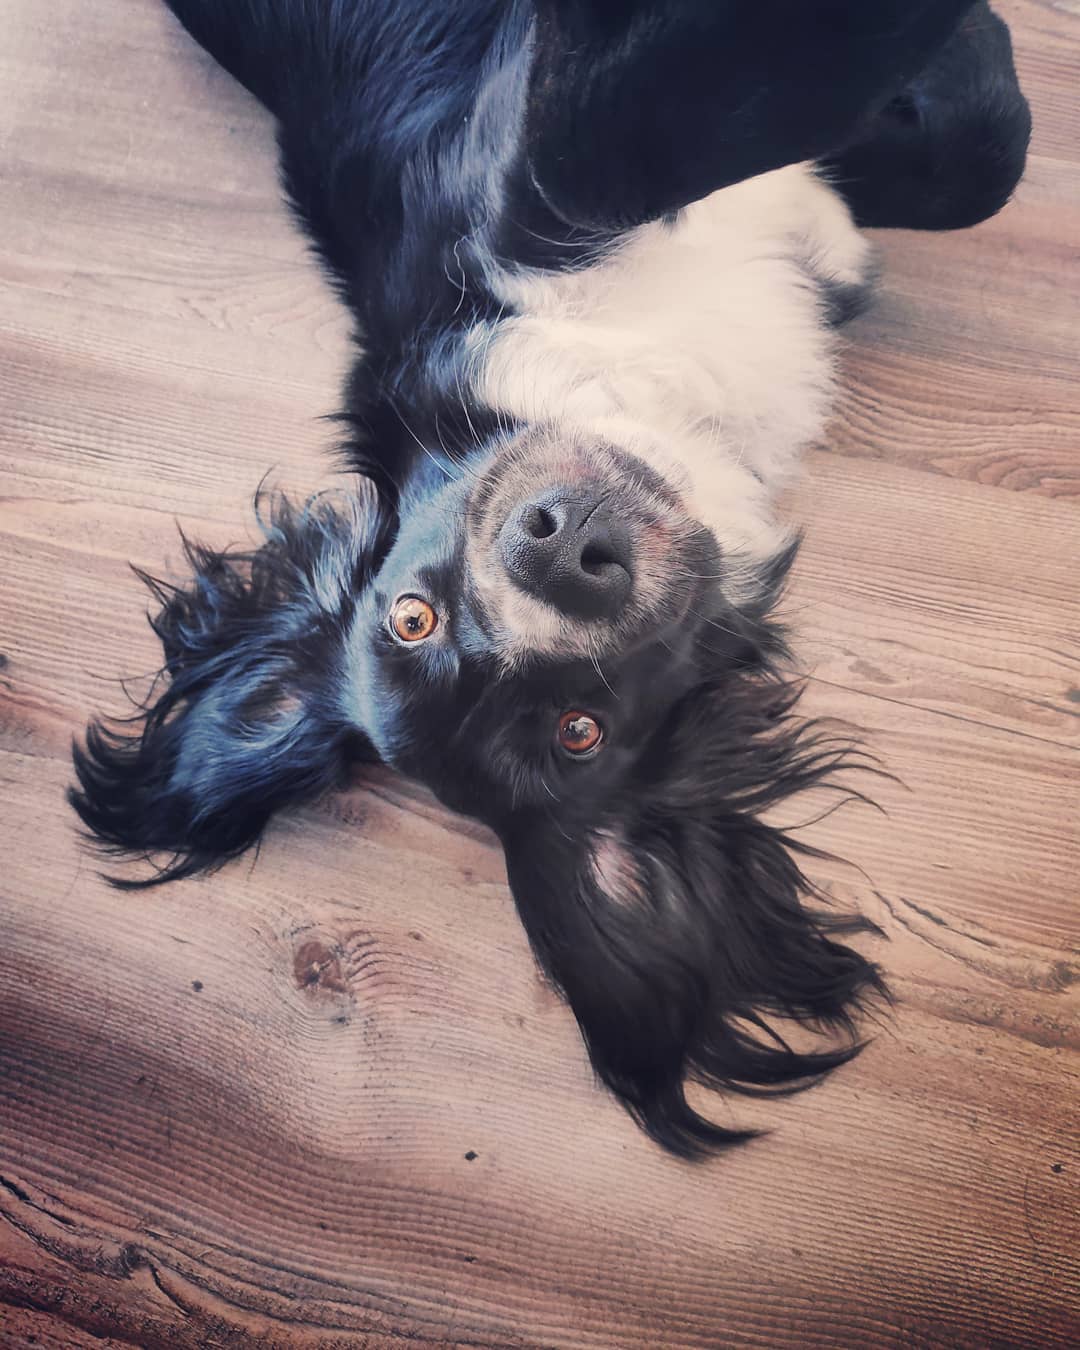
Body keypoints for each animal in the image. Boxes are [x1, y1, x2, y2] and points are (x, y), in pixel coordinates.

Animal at [67, 2, 1031, 1161]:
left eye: (412, 615)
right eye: (578, 733)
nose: (567, 561)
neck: (648, 380)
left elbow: (975, 151)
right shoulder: (576, 140)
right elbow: (736, 85)